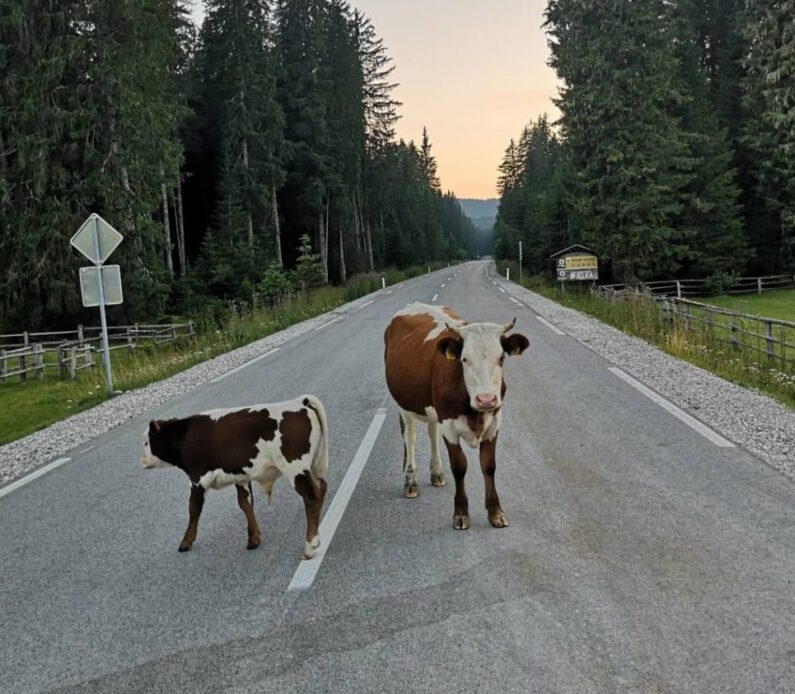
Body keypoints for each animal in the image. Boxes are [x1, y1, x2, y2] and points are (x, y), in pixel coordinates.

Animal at [141, 396, 328, 560]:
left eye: (146, 442)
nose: (142, 461)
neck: (185, 435)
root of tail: (300, 401)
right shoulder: (240, 477)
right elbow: (245, 503)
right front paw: (253, 539)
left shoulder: (197, 479)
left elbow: (194, 509)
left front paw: (186, 542)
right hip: (311, 466)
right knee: (322, 487)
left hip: (295, 468)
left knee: (312, 496)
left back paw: (310, 546)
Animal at [384, 304, 528, 532]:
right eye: (465, 359)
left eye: (501, 358)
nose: (486, 399)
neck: (474, 411)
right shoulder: (449, 425)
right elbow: (459, 467)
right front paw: (461, 514)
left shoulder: (495, 422)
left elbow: (489, 466)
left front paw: (495, 512)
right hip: (403, 405)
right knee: (410, 437)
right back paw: (410, 482)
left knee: (432, 433)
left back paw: (437, 473)